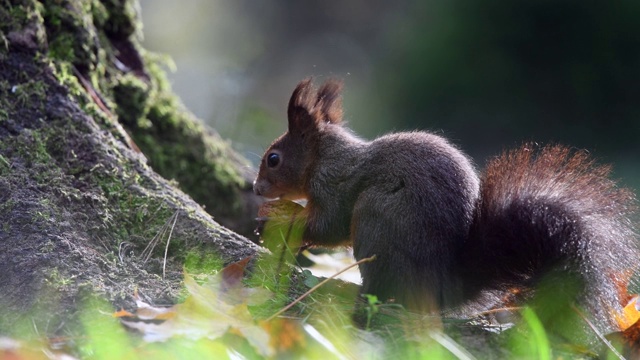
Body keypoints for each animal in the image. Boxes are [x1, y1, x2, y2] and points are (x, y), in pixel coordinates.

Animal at [252, 78, 636, 334]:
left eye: (273, 159)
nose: (256, 189)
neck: (324, 155)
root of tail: (442, 285)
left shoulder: (334, 184)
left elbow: (329, 225)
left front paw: (283, 216)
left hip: (378, 218)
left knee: (386, 293)